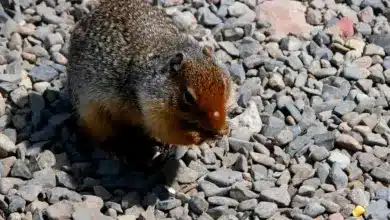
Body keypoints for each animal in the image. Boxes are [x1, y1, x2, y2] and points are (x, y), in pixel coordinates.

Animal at [66, 0, 235, 148]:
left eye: (224, 85)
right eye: (188, 97)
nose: (218, 124)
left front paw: (225, 127)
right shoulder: (152, 107)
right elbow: (167, 132)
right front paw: (197, 136)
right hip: (89, 112)